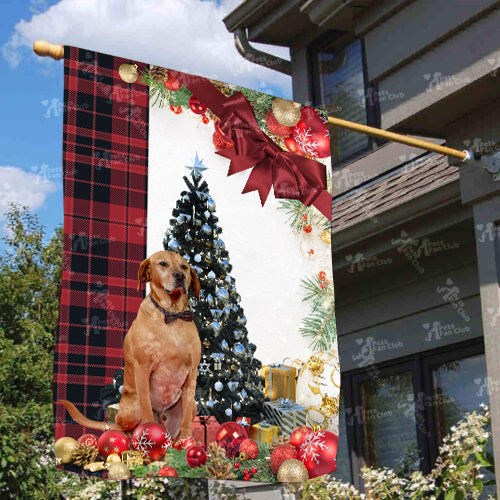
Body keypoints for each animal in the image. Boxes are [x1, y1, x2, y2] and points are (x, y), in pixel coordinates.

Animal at [62, 250, 201, 438]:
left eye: (184, 267)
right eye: (163, 263)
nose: (180, 275)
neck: (171, 315)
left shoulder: (192, 372)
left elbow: (186, 418)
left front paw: (187, 439)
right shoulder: (143, 368)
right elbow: (147, 408)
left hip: (192, 404)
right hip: (132, 406)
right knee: (122, 427)